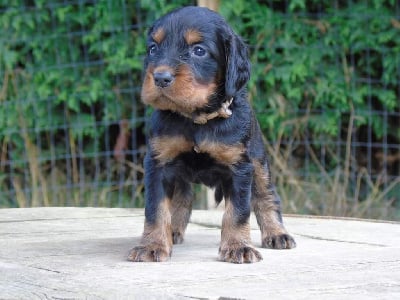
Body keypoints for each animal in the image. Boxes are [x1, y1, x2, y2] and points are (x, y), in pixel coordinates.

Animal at [129, 4, 296, 262]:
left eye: (199, 50)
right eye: (153, 48)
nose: (160, 78)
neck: (197, 119)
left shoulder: (240, 167)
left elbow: (238, 211)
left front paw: (238, 246)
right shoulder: (158, 163)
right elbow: (155, 208)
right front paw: (152, 244)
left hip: (258, 161)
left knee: (266, 196)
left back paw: (277, 233)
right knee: (182, 199)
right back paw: (173, 231)